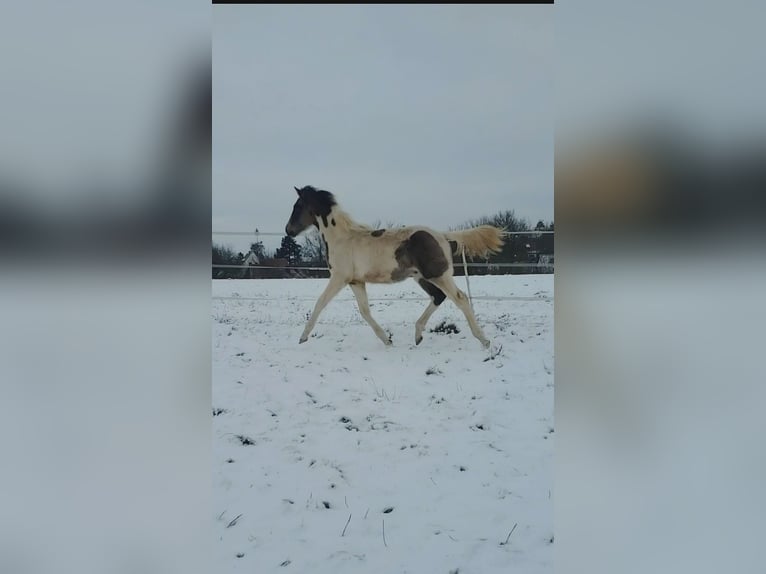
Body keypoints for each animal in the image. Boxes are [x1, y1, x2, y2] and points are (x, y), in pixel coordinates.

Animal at [284, 187, 508, 348]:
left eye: (298, 206)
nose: (288, 230)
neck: (341, 238)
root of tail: (442, 235)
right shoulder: (356, 281)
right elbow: (365, 311)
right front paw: (387, 340)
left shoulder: (340, 278)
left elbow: (320, 303)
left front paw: (303, 338)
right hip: (422, 277)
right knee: (438, 297)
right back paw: (418, 335)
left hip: (438, 275)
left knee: (460, 298)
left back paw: (484, 341)